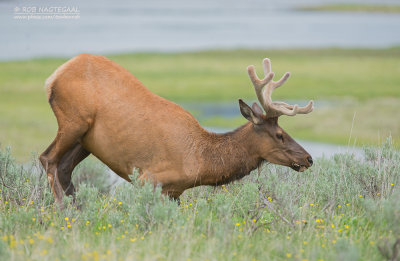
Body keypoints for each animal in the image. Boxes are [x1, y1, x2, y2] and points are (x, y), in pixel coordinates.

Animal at [39, 55, 314, 205]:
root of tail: (52, 77)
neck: (201, 161)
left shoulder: (175, 192)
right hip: (73, 120)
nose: (309, 158)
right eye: (280, 135)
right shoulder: (149, 177)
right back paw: (63, 210)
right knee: (47, 159)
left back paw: (78, 209)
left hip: (85, 140)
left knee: (64, 168)